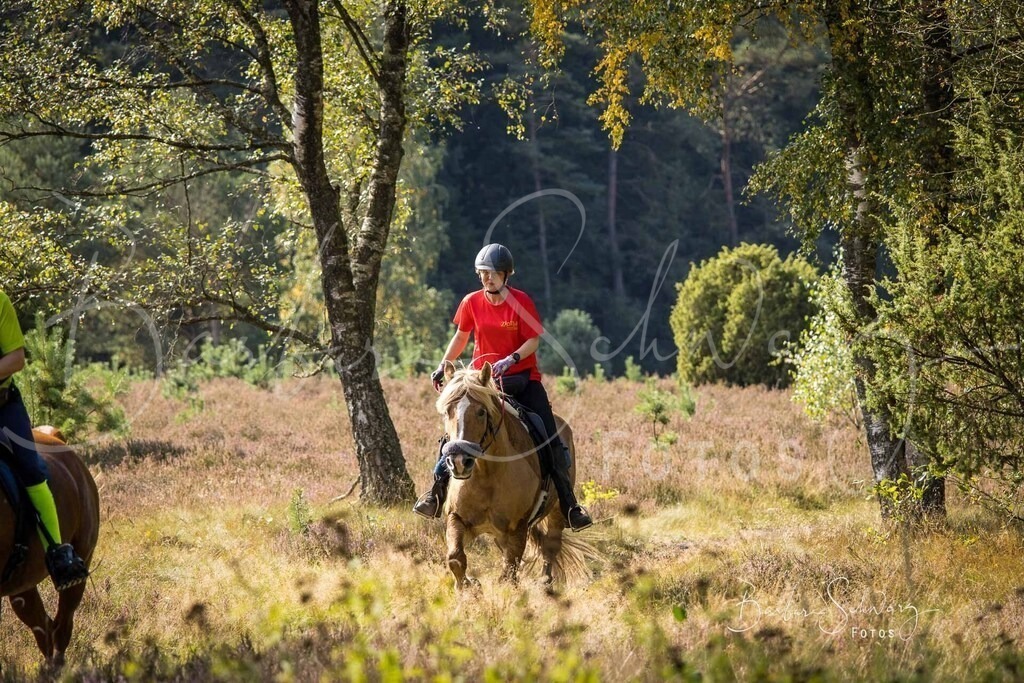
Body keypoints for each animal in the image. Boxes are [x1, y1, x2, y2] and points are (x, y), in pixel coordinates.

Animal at [436, 361, 593, 588]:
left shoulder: (518, 528)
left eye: (481, 412)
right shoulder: (458, 518)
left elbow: (509, 574)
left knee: (550, 546)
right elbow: (456, 558)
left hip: (555, 512)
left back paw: (545, 582)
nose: (458, 462)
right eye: (447, 411)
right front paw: (470, 587)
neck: (487, 475)